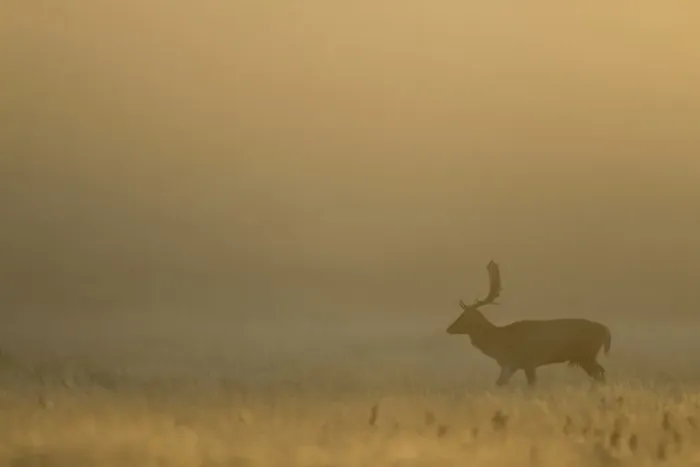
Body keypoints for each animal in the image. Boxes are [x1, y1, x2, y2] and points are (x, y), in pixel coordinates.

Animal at [446, 261, 612, 386]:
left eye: (464, 316)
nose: (448, 328)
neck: (500, 341)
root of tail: (604, 329)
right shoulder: (511, 365)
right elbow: (500, 383)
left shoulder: (527, 361)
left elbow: (530, 384)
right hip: (587, 357)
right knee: (601, 372)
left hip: (587, 355)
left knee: (600, 374)